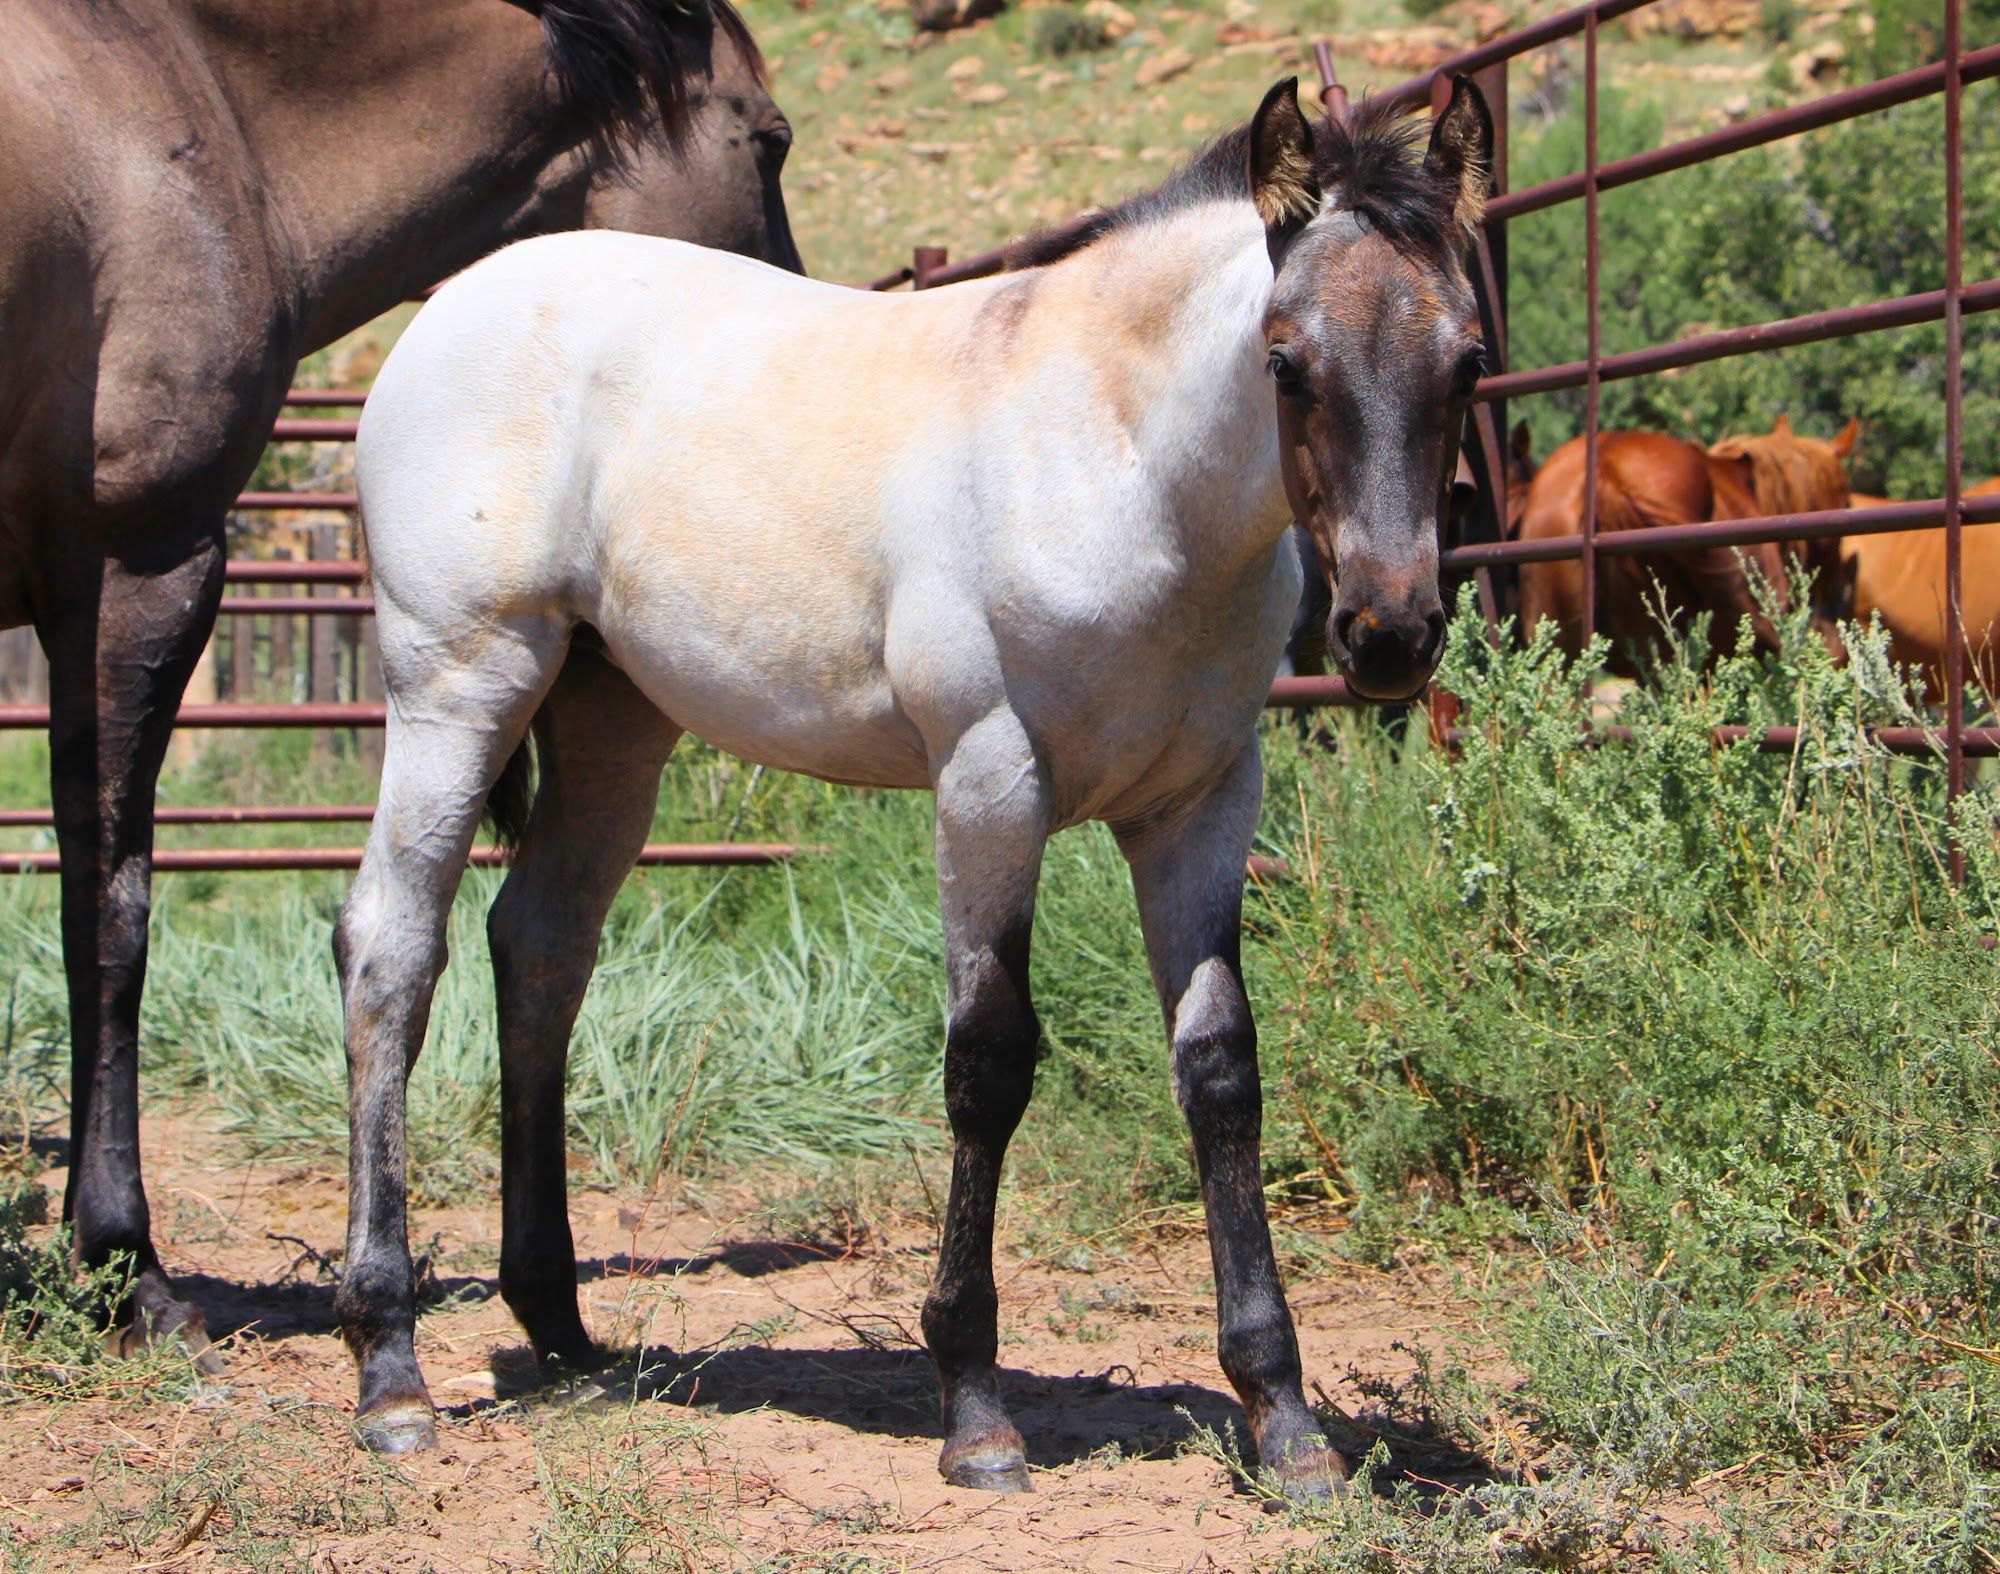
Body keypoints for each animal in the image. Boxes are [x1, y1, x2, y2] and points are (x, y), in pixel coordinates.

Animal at [333, 77, 1494, 1491]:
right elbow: (987, 1059)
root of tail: (452, 306)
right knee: (393, 951)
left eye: (1466, 359)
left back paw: (557, 1321)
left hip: (613, 722)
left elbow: (1221, 1069)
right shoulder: (988, 780)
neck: (1115, 463)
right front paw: (975, 1405)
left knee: (540, 947)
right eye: (1285, 360)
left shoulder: (1200, 804)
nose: (1389, 634)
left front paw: (1282, 1415)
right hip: (458, 685)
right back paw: (389, 1364)